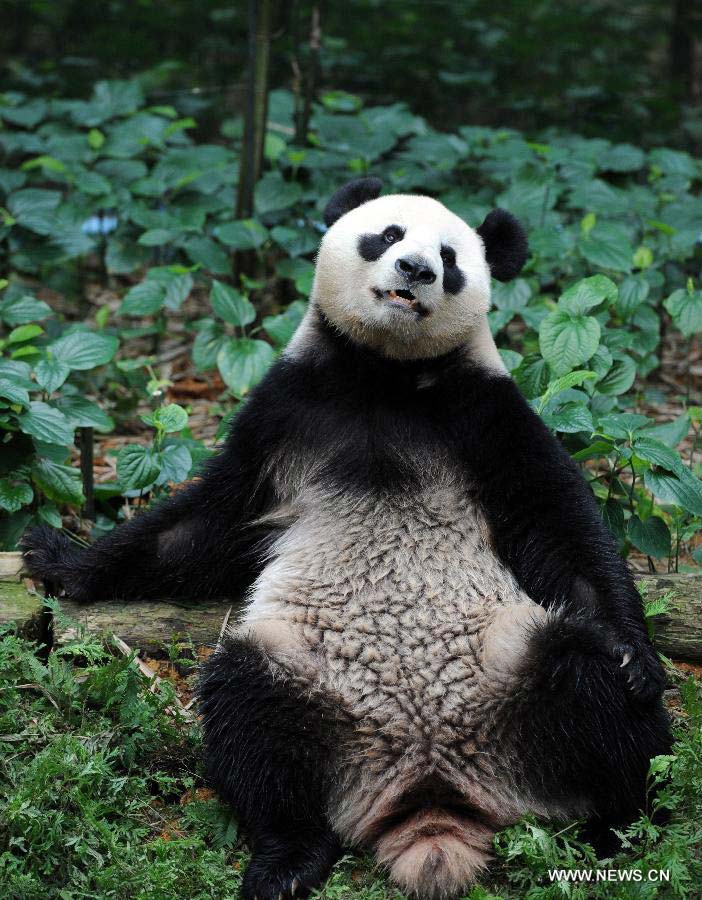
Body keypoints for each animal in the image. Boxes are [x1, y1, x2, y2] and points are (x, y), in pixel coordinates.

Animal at [22, 176, 672, 900]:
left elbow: (558, 523)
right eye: (387, 235)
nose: (414, 270)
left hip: (514, 664)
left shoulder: (485, 411)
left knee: (602, 698)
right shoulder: (286, 412)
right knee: (251, 722)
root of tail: (432, 787)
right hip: (309, 679)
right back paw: (287, 858)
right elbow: (202, 525)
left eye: (450, 258)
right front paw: (62, 558)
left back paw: (622, 828)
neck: (383, 376)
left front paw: (636, 655)